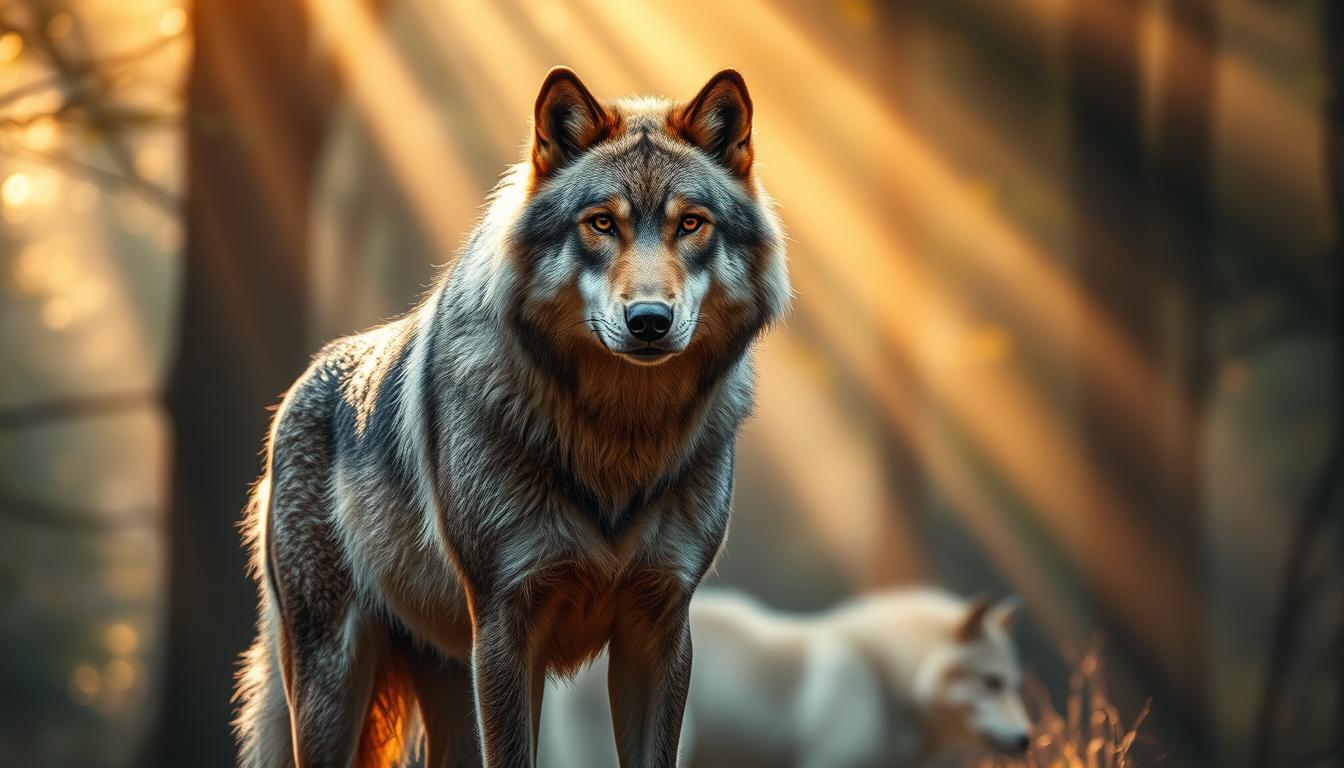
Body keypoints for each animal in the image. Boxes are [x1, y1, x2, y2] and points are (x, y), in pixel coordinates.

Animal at [232, 66, 789, 768]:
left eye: (691, 223)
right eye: (601, 223)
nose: (649, 321)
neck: (618, 437)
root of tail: (301, 385)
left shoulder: (660, 627)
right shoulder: (506, 623)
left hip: (446, 682)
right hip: (335, 687)